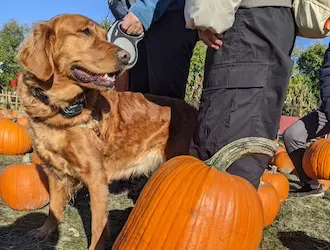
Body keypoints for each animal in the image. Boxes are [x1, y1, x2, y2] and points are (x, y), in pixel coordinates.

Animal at [16, 14, 197, 250]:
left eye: (103, 35)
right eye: (85, 32)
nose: (126, 56)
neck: (61, 111)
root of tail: (194, 109)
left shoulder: (96, 178)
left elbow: (98, 226)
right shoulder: (54, 171)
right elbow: (53, 208)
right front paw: (44, 232)